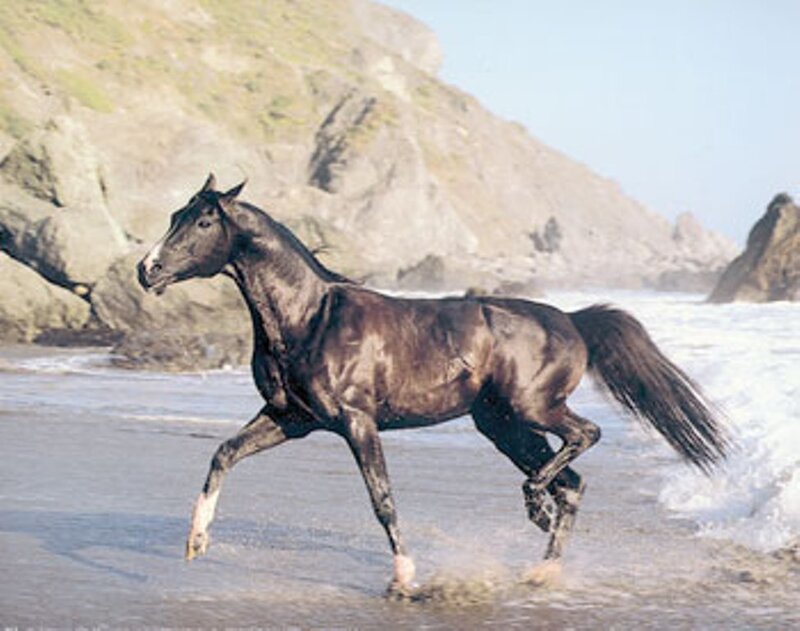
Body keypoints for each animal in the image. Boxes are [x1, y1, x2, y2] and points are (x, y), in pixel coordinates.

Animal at [137, 174, 729, 594]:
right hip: (503, 426)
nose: (148, 269)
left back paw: (535, 511)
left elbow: (382, 499)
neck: (310, 318)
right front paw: (196, 541)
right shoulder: (293, 419)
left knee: (584, 439)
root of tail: (571, 319)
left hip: (532, 408)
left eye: (202, 223)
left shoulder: (356, 421)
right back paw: (542, 567)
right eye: (175, 215)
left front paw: (403, 576)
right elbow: (223, 454)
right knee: (572, 484)